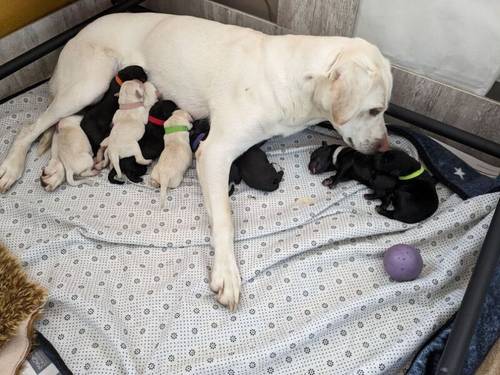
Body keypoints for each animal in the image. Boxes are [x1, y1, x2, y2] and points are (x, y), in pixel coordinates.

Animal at [0, 13, 390, 310]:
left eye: (384, 110)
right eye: (374, 110)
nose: (385, 148)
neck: (294, 80)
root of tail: (78, 33)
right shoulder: (214, 153)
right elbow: (225, 220)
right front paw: (227, 274)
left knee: (63, 127)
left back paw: (54, 171)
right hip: (89, 84)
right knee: (32, 127)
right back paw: (11, 168)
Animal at [308, 141, 438, 223]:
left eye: (313, 155)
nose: (308, 167)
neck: (336, 154)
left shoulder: (346, 163)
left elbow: (338, 175)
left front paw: (332, 183)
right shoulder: (348, 175)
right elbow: (338, 176)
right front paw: (328, 180)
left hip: (376, 180)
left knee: (382, 194)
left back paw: (369, 196)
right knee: (386, 198)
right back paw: (378, 204)